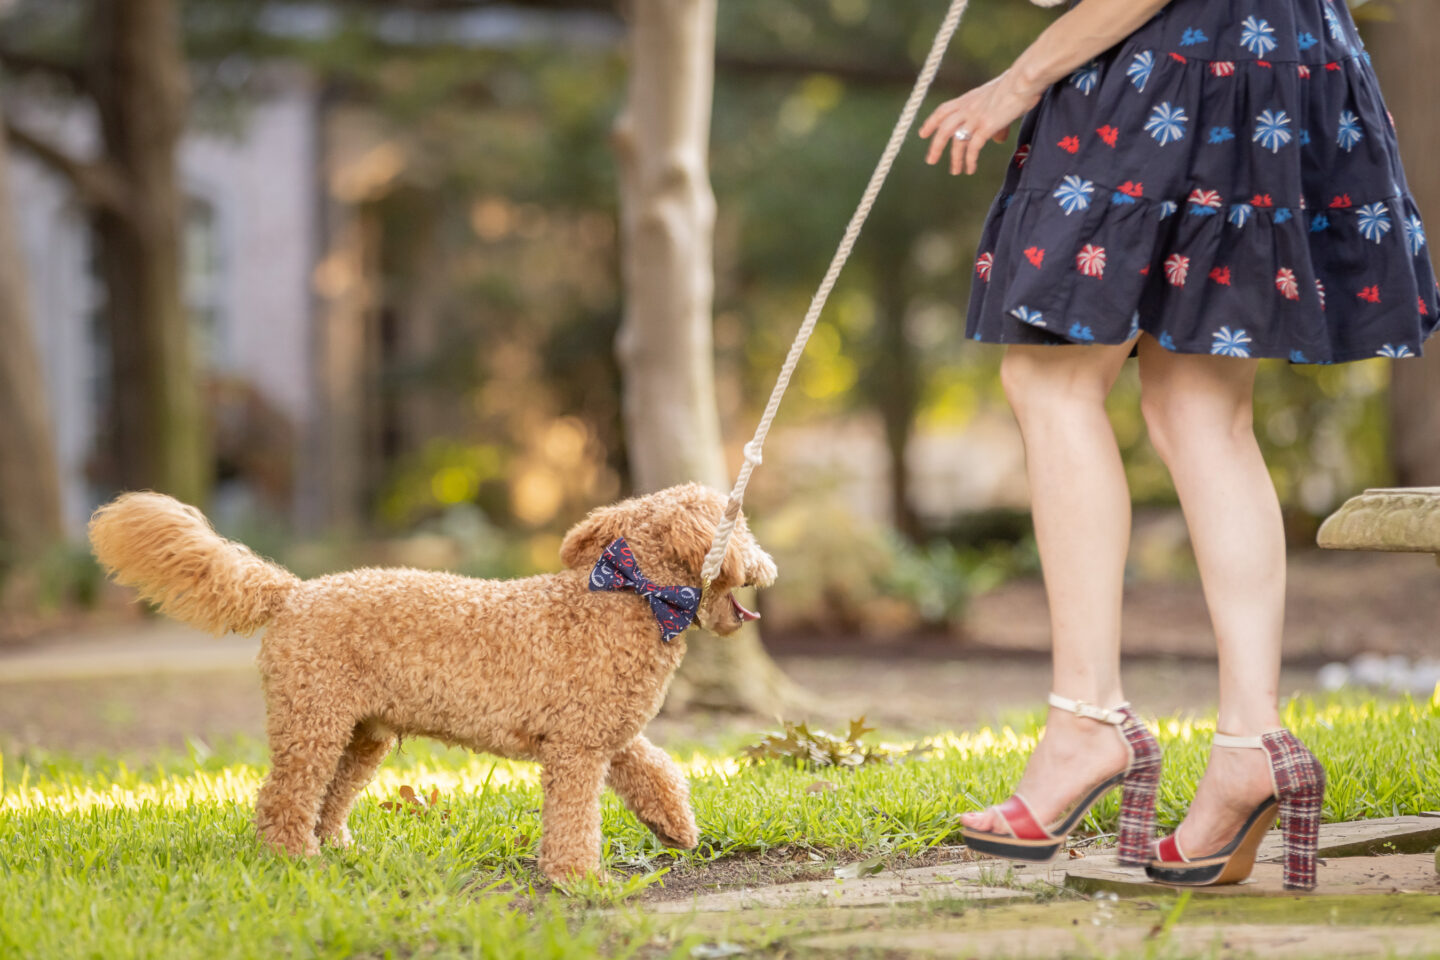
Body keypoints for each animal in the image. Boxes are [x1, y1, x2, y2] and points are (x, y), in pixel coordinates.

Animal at [87, 483, 777, 880]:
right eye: (741, 528)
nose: (766, 565)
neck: (626, 597)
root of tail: (292, 593)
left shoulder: (605, 733)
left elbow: (654, 770)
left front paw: (676, 829)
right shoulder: (578, 749)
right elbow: (575, 819)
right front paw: (577, 879)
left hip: (360, 734)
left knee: (329, 797)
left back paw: (336, 847)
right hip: (312, 720)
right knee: (284, 796)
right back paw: (293, 857)